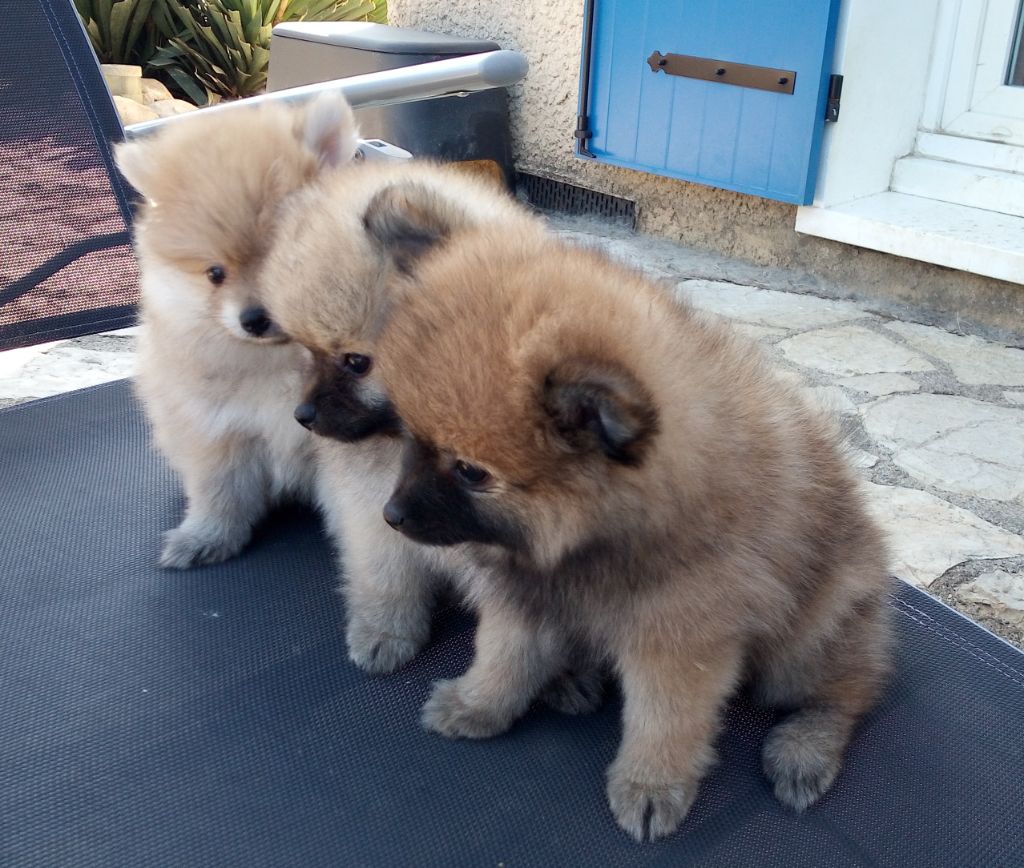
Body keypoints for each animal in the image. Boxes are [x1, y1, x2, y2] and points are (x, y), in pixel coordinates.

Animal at [115, 96, 360, 569]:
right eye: (215, 273)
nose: (254, 319)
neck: (284, 363)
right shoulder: (218, 433)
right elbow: (220, 495)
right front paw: (205, 537)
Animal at [372, 211, 892, 839]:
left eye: (471, 471)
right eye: (410, 437)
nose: (392, 515)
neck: (598, 540)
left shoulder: (679, 639)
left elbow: (665, 721)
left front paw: (649, 785)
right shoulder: (529, 596)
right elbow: (503, 656)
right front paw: (478, 705)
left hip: (804, 643)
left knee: (852, 688)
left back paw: (804, 747)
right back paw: (571, 677)